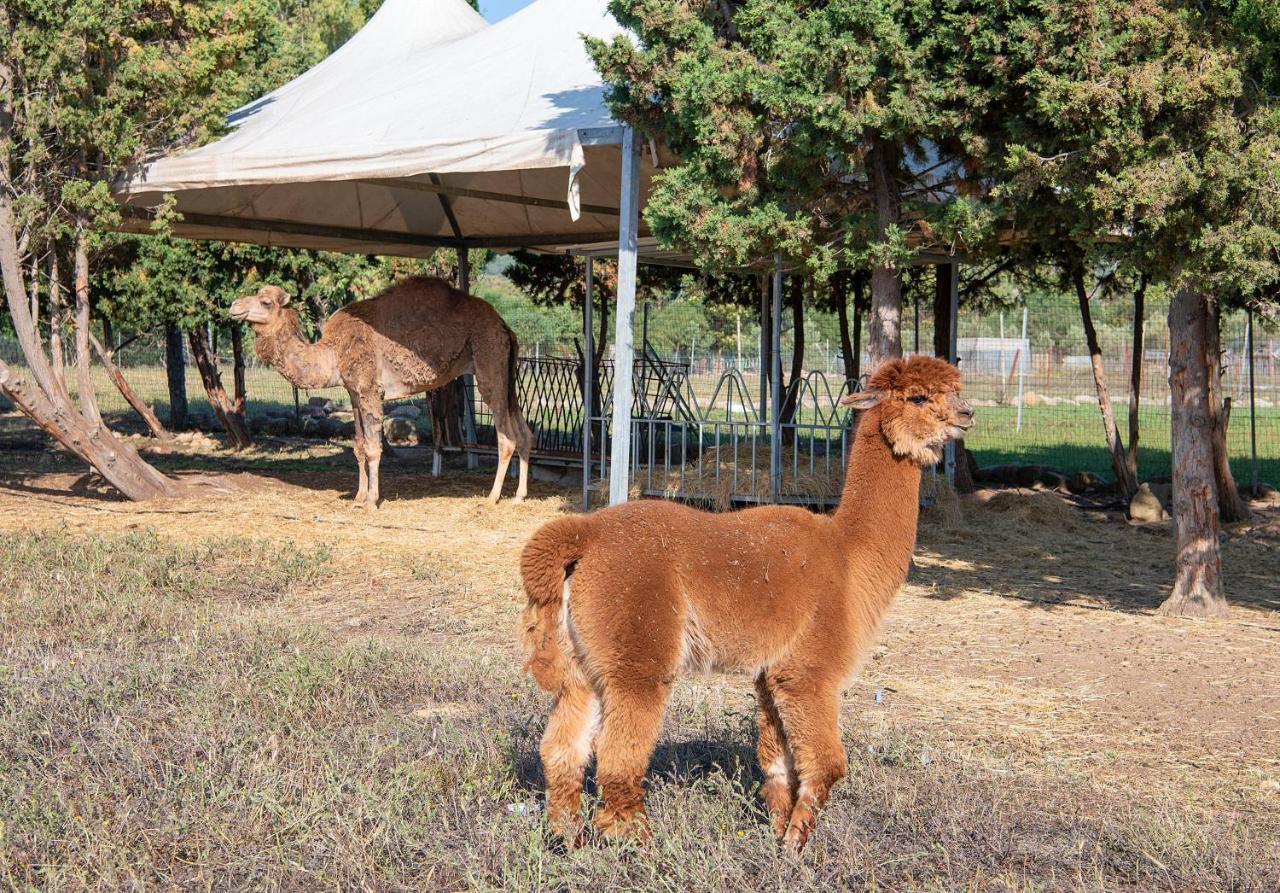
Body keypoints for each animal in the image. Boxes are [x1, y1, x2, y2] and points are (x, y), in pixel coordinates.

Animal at [227, 275, 532, 504]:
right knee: (524, 432)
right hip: (507, 374)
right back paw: (519, 496)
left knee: (506, 437)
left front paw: (372, 500)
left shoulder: (371, 388)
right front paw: (359, 497)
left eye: (265, 302)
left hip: (489, 362)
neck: (333, 352)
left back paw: (491, 498)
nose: (234, 305)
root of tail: (506, 328)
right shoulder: (353, 392)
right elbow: (359, 446)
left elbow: (374, 448)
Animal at [514, 355, 972, 849]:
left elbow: (778, 764)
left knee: (562, 750)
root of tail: (587, 532)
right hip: (636, 650)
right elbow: (827, 764)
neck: (849, 555)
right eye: (919, 397)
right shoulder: (811, 669)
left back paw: (569, 840)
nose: (968, 415)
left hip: (584, 662)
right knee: (618, 758)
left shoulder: (773, 673)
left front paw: (777, 834)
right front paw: (796, 846)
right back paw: (640, 846)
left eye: (956, 391)